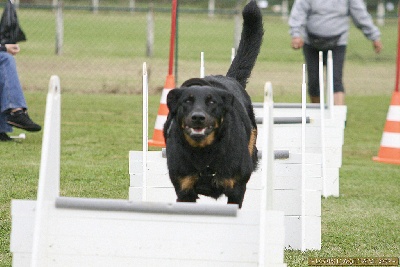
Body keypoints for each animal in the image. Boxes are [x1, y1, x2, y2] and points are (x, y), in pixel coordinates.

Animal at [162, 0, 262, 209]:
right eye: (187, 101)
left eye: (212, 102)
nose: (198, 117)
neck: (204, 152)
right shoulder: (184, 190)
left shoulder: (236, 189)